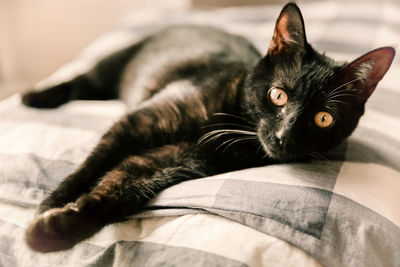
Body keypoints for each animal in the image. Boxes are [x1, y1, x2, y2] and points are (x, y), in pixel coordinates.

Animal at [22, 3, 394, 253]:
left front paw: (56, 230)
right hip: (114, 62)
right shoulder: (137, 124)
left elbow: (121, 189)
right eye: (278, 95)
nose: (283, 135)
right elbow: (91, 166)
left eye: (323, 118)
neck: (231, 118)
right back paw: (35, 97)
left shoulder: (174, 160)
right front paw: (49, 205)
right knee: (82, 81)